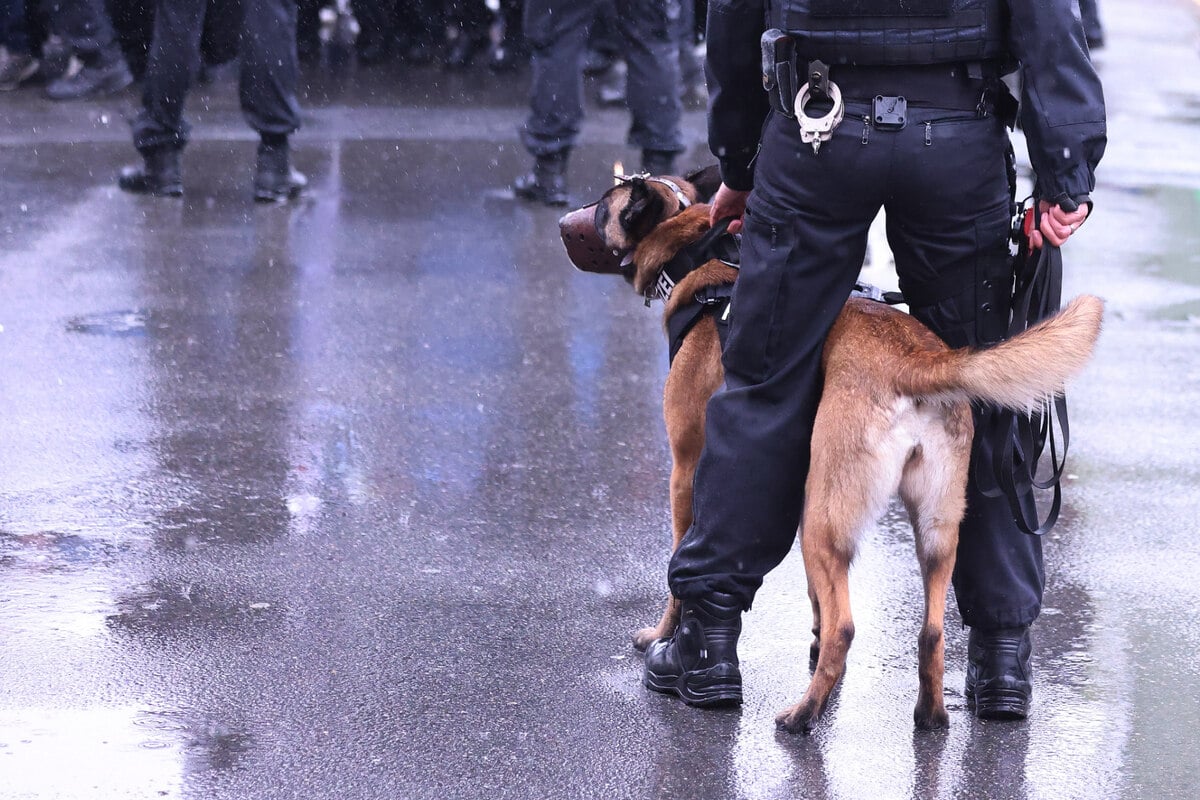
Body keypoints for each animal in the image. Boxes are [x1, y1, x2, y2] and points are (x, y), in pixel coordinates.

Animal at [561, 169, 1104, 734]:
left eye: (601, 205)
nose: (562, 222)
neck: (695, 256)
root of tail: (917, 361)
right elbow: (814, 594)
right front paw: (813, 640)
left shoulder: (686, 473)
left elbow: (678, 569)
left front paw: (662, 639)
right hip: (931, 531)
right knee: (931, 631)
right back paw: (931, 714)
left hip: (824, 520)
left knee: (847, 626)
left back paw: (803, 714)